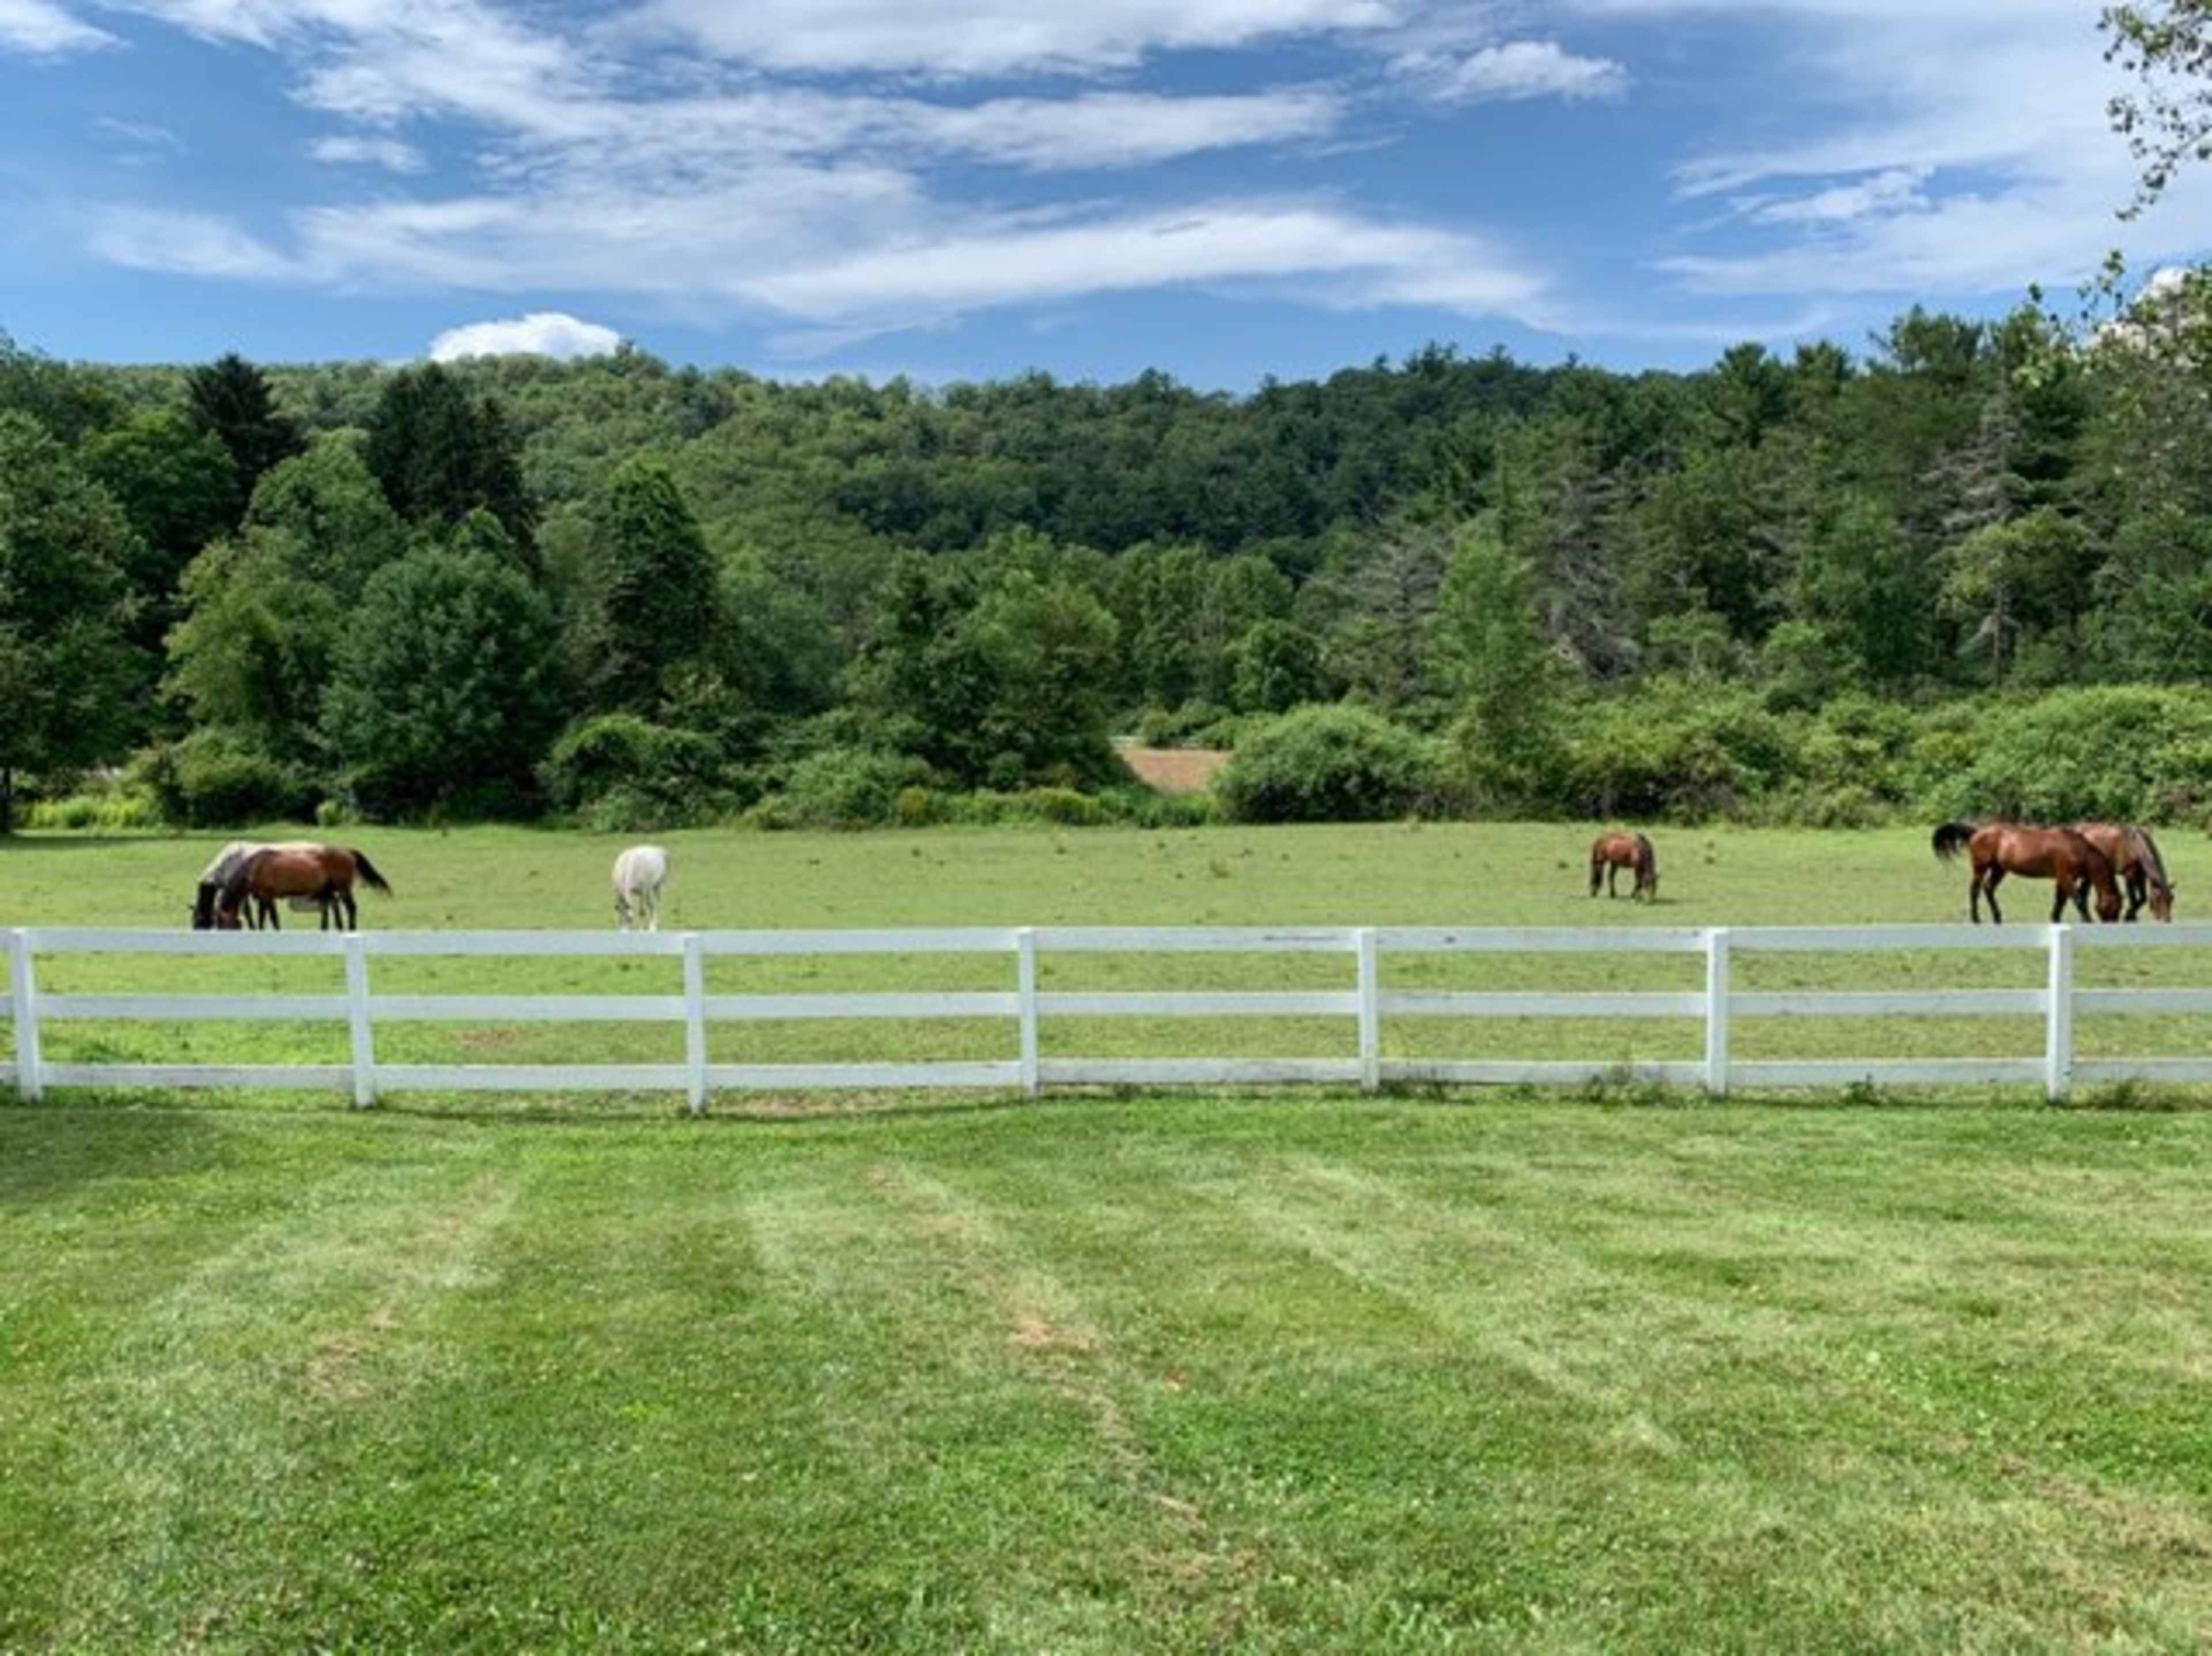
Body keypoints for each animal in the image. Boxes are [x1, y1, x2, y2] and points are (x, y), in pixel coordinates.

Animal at [214, 844, 391, 931]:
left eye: (222, 925)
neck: (255, 866)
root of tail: (347, 852)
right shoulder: (263, 898)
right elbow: (264, 916)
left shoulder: (267, 896)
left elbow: (270, 917)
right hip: (329, 891)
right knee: (332, 906)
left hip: (343, 889)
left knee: (351, 908)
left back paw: (351, 929)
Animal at [612, 844, 670, 932]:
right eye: (620, 920)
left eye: (629, 920)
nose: (623, 932)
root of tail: (657, 849)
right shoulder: (620, 892)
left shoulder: (642, 892)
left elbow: (642, 912)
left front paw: (641, 931)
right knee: (651, 904)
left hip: (656, 886)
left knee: (655, 905)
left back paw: (653, 927)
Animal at [1931, 822, 2123, 924]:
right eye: (2116, 908)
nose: (2112, 925)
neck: (2077, 848)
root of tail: (1977, 832)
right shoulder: (2066, 877)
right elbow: (2077, 901)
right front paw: (2087, 921)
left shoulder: (2063, 879)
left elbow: (2060, 901)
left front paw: (2055, 920)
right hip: (1981, 868)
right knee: (1975, 890)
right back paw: (1976, 919)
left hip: (1999, 870)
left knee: (1988, 889)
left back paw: (1998, 918)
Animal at [2072, 823, 2175, 922]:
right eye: (2158, 898)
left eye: (2171, 899)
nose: (2166, 920)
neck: (2135, 846)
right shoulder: (2129, 875)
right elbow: (2133, 899)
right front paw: (2130, 917)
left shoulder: (2141, 876)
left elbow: (2143, 898)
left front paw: (2130, 915)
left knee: (2082, 893)